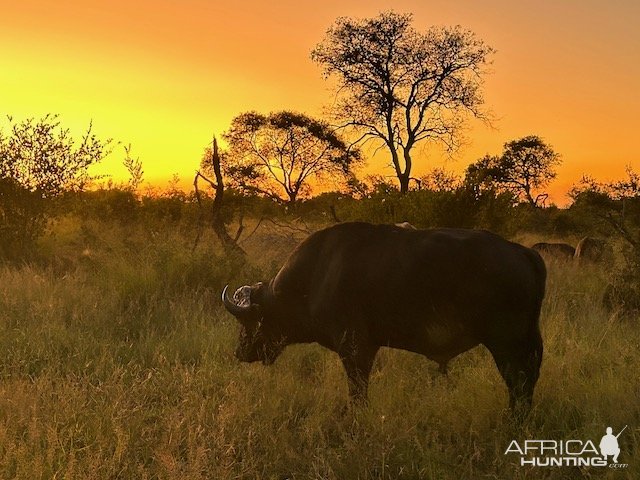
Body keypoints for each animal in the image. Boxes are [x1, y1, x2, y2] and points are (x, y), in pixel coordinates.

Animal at [222, 223, 548, 410]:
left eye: (247, 321)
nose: (239, 352)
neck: (315, 275)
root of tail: (522, 253)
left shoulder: (354, 350)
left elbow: (357, 393)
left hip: (507, 344)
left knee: (519, 383)